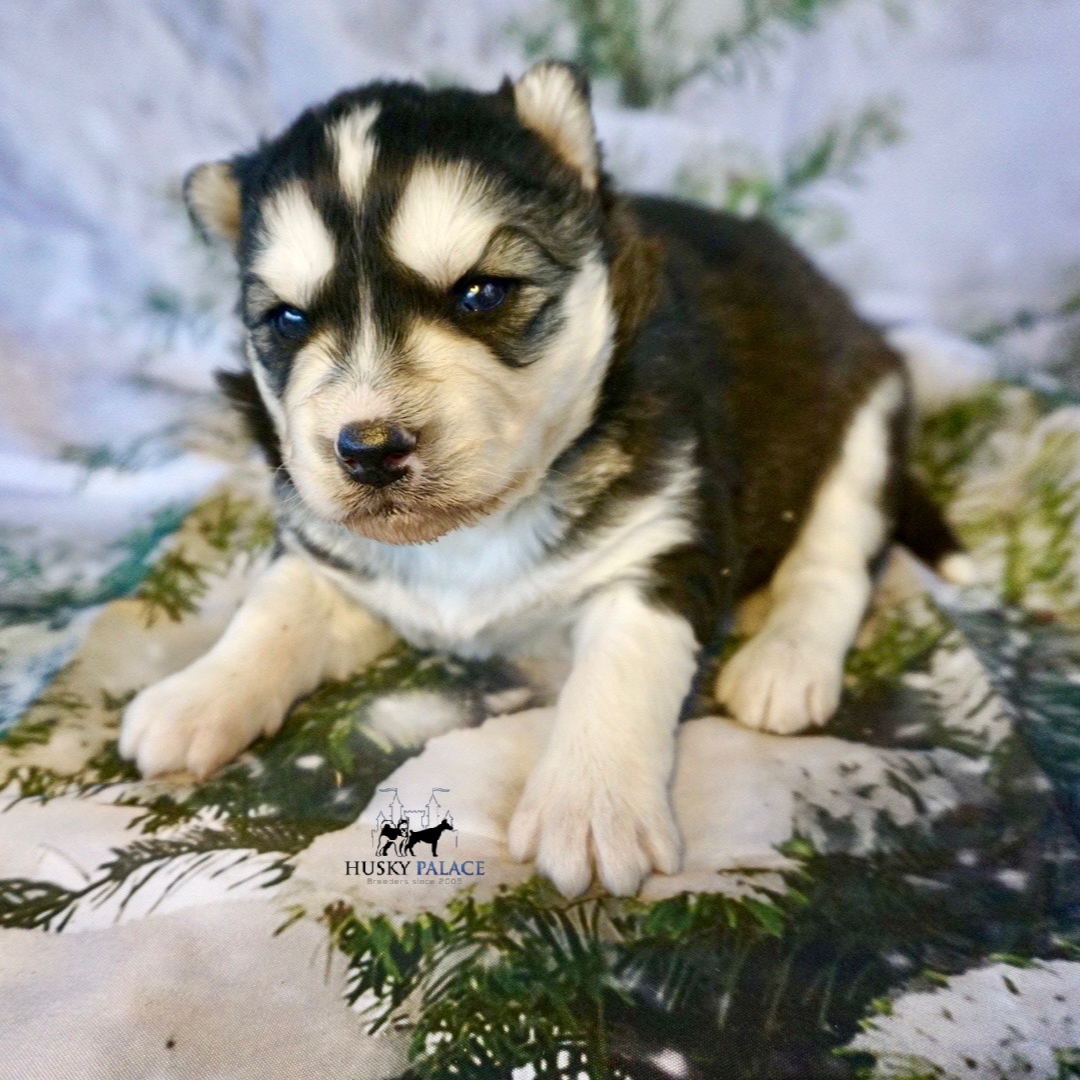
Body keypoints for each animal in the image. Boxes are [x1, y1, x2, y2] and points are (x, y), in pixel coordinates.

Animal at [118, 63, 963, 898]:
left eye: (481, 292)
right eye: (289, 321)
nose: (369, 449)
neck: (477, 529)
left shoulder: (664, 535)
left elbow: (622, 668)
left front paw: (588, 807)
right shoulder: (330, 551)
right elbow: (274, 608)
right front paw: (198, 695)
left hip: (864, 414)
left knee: (837, 556)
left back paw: (784, 660)